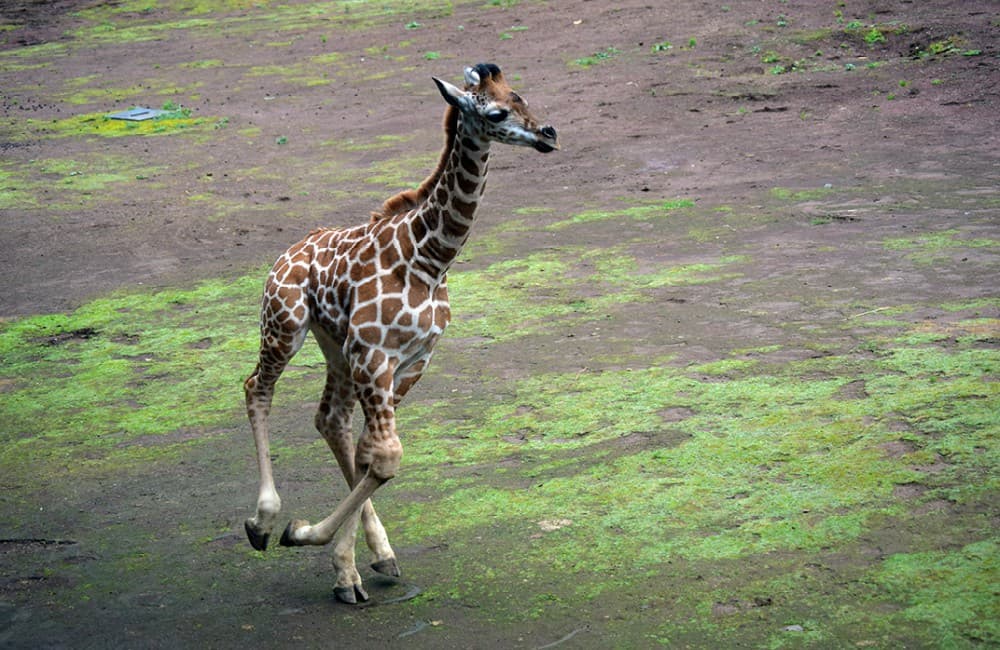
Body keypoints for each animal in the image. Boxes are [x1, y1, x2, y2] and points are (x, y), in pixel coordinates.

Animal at [243, 63, 558, 603]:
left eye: (521, 96)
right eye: (496, 111)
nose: (549, 134)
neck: (430, 259)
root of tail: (287, 253)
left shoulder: (411, 360)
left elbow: (373, 454)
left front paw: (350, 565)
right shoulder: (373, 353)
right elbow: (387, 457)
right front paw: (303, 535)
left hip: (334, 346)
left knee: (331, 419)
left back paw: (366, 556)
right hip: (285, 325)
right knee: (256, 388)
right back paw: (263, 522)